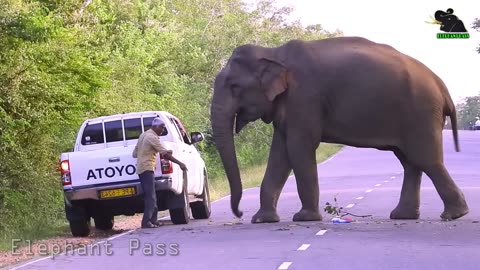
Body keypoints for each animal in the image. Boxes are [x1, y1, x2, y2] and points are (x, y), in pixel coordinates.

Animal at [210, 35, 468, 224]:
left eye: (234, 86)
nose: (239, 213)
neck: (274, 54)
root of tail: (443, 88)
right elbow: (280, 154)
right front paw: (262, 220)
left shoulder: (305, 97)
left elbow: (298, 147)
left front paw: (305, 218)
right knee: (410, 161)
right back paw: (404, 216)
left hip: (420, 113)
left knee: (425, 160)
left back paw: (454, 215)